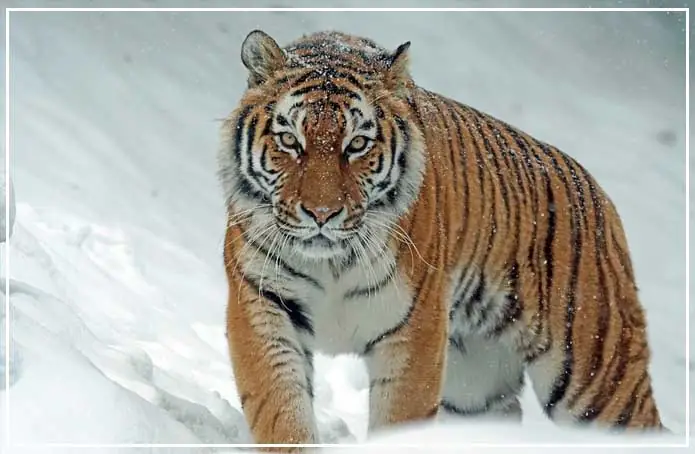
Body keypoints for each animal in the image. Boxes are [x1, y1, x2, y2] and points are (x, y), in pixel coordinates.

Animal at [217, 29, 666, 450]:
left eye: (357, 144)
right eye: (289, 141)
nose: (322, 214)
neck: (331, 262)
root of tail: (600, 196)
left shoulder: (414, 329)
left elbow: (399, 420)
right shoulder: (262, 304)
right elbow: (281, 412)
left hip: (597, 378)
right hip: (475, 388)